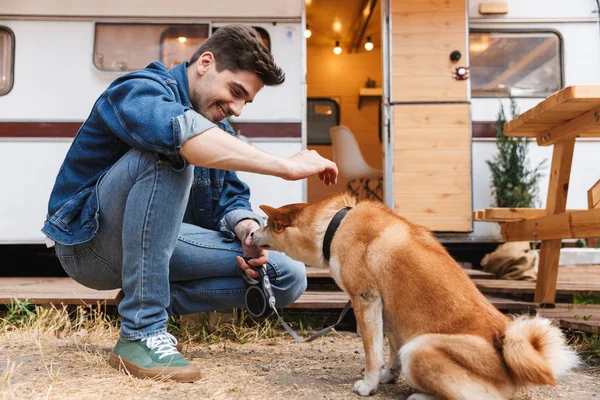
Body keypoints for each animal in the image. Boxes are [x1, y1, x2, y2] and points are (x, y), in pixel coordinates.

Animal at [251, 192, 580, 398]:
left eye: (267, 224)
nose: (251, 233)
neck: (336, 225)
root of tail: (507, 350)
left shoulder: (365, 300)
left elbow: (372, 353)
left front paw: (369, 385)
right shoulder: (389, 309)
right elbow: (390, 350)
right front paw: (388, 376)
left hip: (420, 349)